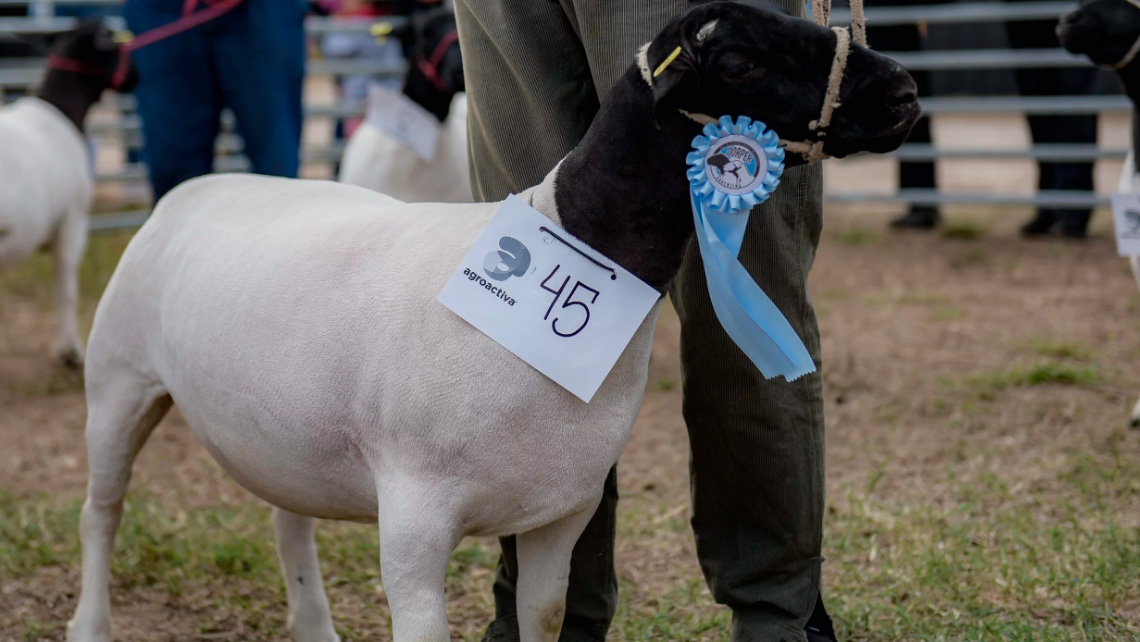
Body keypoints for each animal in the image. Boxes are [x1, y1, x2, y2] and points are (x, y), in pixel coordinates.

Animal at [0, 20, 139, 367]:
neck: (63, 109)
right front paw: (70, 352)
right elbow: (65, 289)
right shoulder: (72, 221)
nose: (136, 76)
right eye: (114, 42)